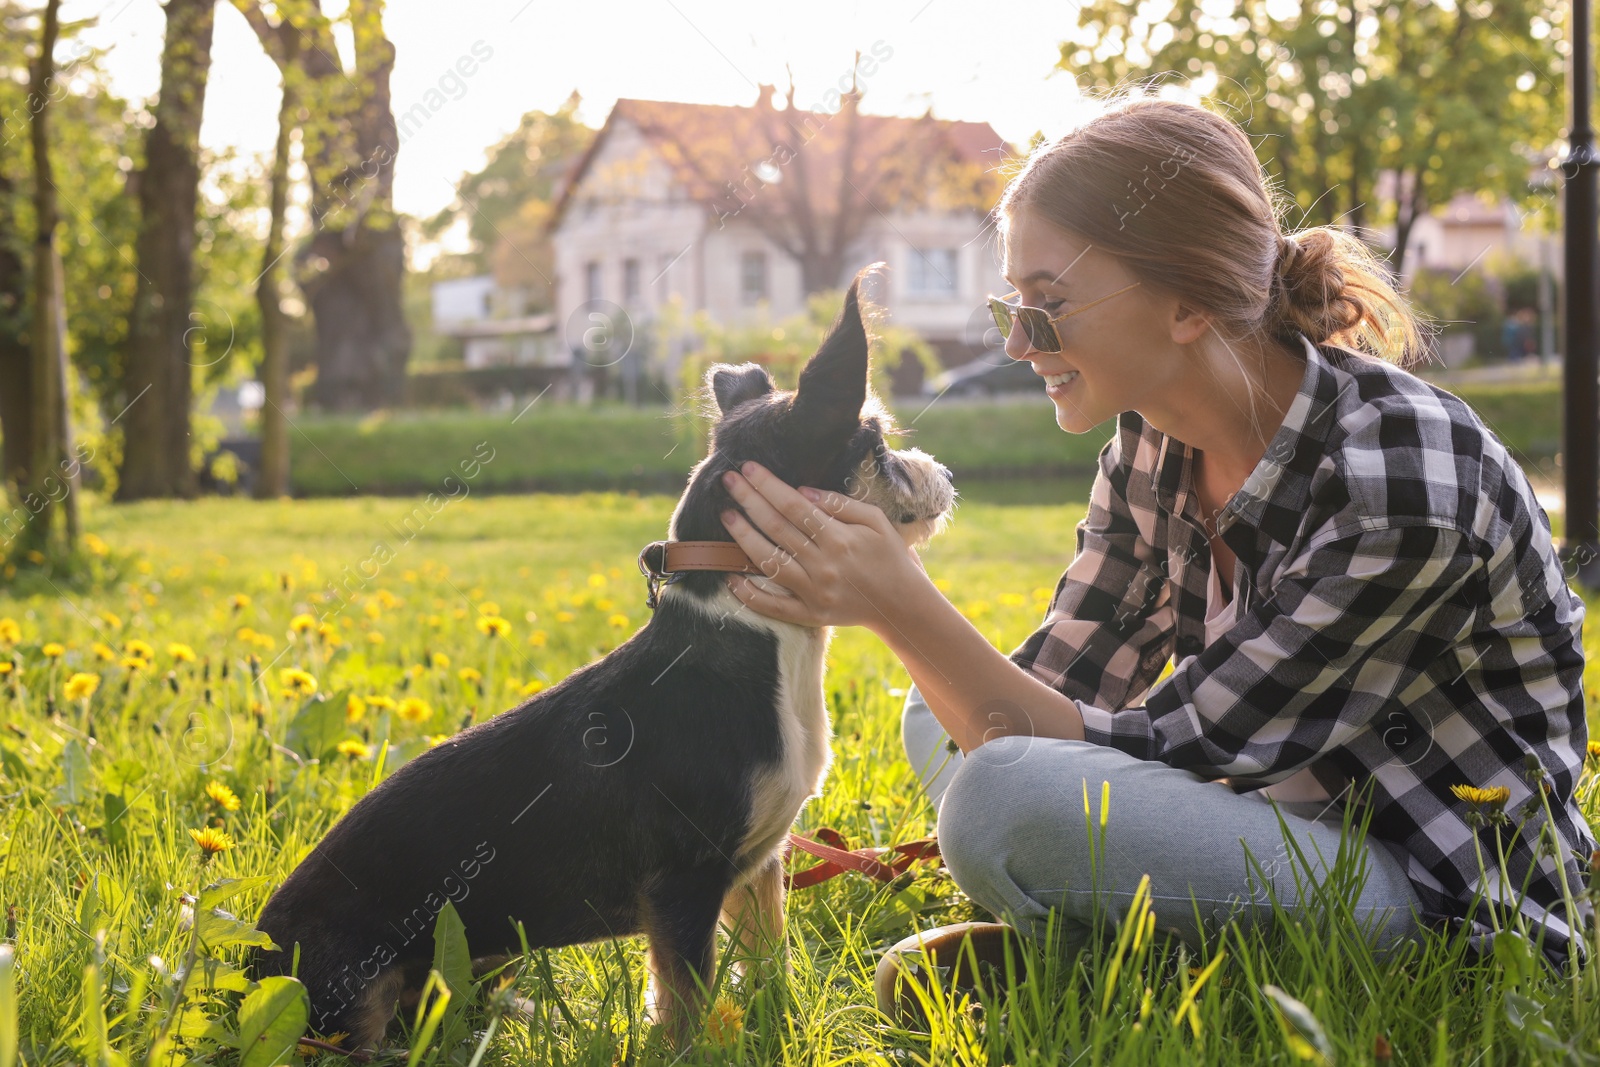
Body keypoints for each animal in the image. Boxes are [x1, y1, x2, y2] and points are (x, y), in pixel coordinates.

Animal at [243, 271, 953, 1055]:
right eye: (879, 447)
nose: (945, 475)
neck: (761, 637)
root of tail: (248, 958)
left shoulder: (755, 868)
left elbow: (770, 963)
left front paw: (782, 1029)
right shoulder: (682, 884)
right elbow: (687, 1003)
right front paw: (693, 1049)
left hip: (481, 952)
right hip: (351, 988)